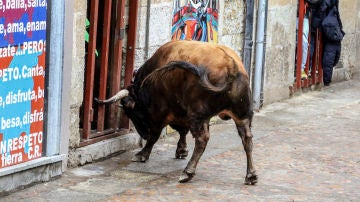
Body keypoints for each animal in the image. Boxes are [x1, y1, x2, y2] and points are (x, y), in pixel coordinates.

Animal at [96, 39, 256, 185]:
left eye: (131, 112)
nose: (143, 134)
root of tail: (231, 65)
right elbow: (182, 131)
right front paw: (181, 150)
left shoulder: (160, 112)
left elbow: (155, 135)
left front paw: (142, 154)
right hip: (241, 114)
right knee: (247, 138)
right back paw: (251, 175)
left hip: (198, 115)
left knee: (202, 139)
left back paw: (187, 172)